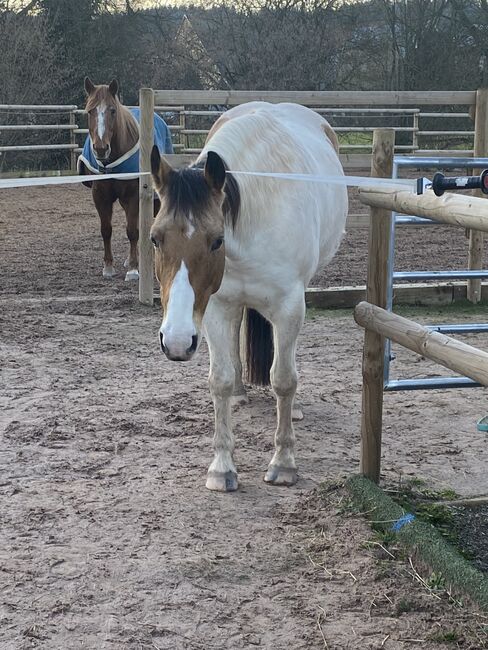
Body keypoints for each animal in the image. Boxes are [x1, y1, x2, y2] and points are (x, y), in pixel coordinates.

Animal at [78, 77, 173, 280]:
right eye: (89, 111)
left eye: (113, 110)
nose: (101, 149)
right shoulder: (100, 196)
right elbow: (106, 229)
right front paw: (108, 267)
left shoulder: (133, 196)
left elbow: (132, 231)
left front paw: (133, 270)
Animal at [150, 102, 346, 492]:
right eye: (155, 239)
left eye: (216, 240)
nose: (175, 341)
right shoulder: (215, 308)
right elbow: (220, 380)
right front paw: (222, 467)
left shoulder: (289, 307)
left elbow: (283, 379)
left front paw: (283, 463)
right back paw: (242, 392)